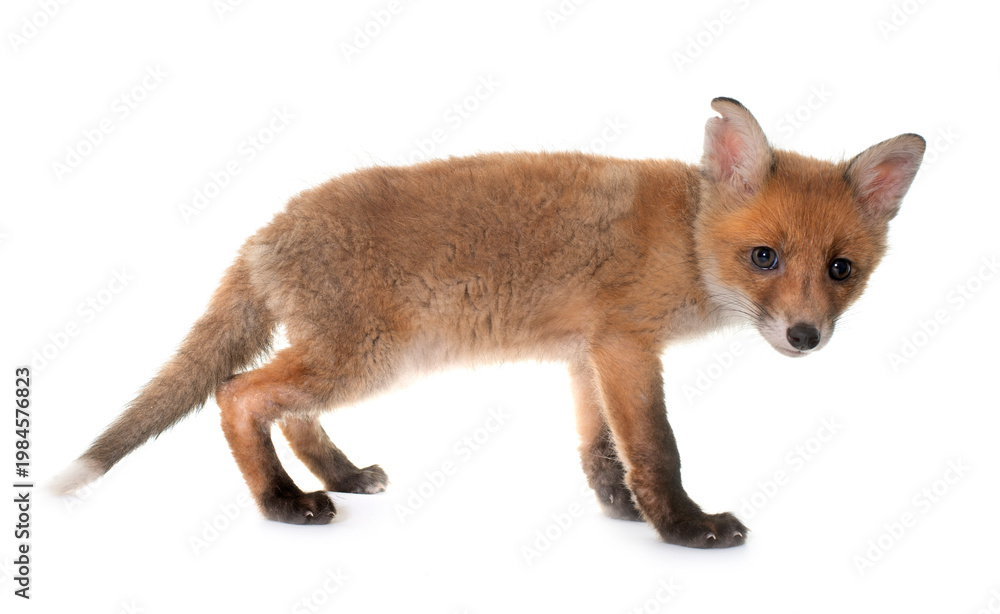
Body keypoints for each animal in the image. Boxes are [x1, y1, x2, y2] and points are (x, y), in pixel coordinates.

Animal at [52, 97, 924, 548]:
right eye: (765, 258)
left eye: (841, 270)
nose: (806, 337)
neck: (684, 238)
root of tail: (266, 230)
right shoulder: (626, 346)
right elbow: (656, 449)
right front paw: (681, 526)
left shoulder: (587, 353)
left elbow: (600, 450)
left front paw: (620, 511)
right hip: (363, 358)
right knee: (238, 395)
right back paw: (281, 503)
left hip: (346, 360)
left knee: (287, 411)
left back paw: (338, 475)